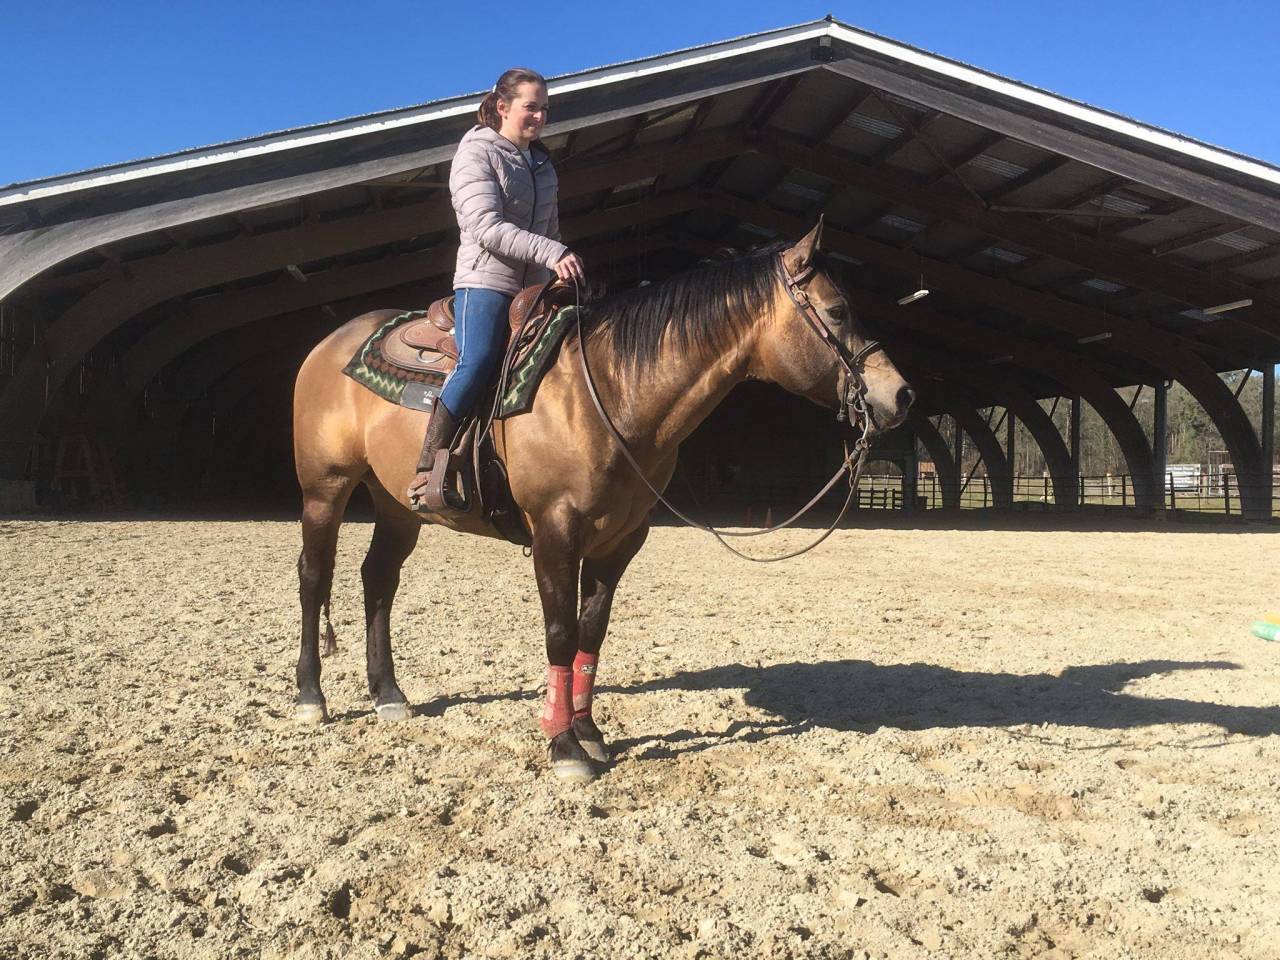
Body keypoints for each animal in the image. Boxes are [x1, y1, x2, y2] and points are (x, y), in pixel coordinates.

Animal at [291, 220, 914, 781]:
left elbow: (591, 633)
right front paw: (564, 747)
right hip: (325, 489)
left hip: (397, 505)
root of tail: (330, 343)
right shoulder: (555, 533)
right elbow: (560, 634)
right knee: (315, 576)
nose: (902, 395)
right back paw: (310, 697)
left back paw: (388, 694)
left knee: (378, 579)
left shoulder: (620, 538)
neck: (611, 394)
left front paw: (588, 731)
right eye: (838, 310)